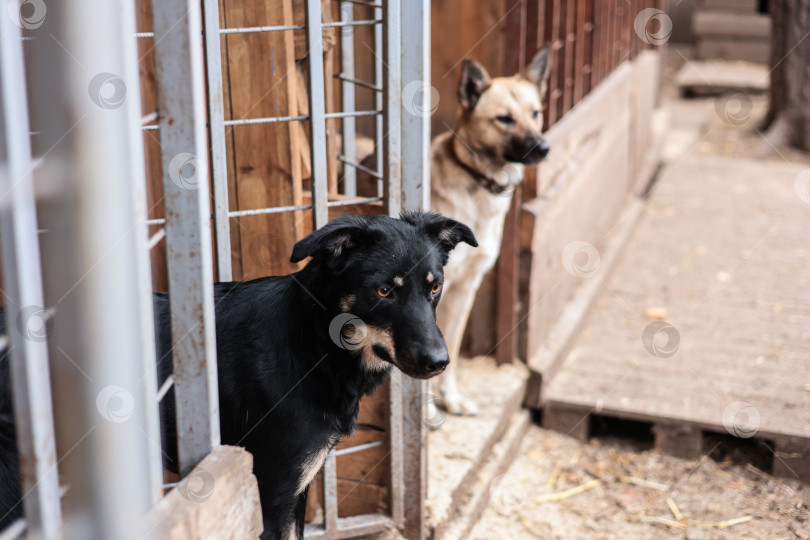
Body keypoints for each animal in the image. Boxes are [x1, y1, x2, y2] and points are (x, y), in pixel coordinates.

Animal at [0, 212, 476, 540]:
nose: (439, 362)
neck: (310, 343)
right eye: (383, 291)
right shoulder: (274, 489)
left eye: (434, 287)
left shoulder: (297, 489)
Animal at [426, 46, 552, 420]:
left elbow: (451, 350)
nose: (544, 148)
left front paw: (451, 399)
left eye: (535, 113)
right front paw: (426, 413)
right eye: (504, 119)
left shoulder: (466, 288)